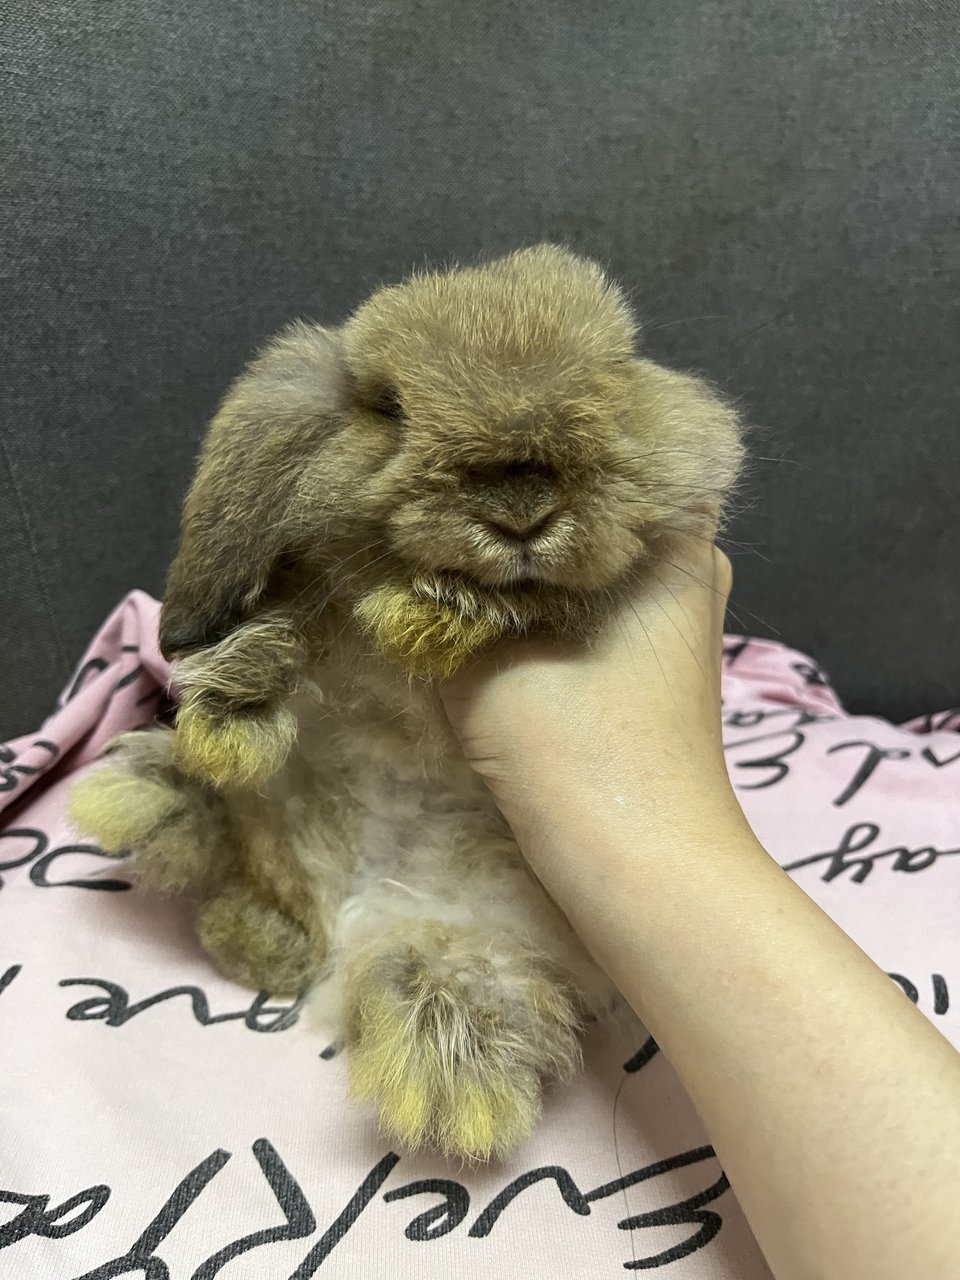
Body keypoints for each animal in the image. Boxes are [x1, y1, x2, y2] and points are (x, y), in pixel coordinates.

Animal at [69, 244, 742, 1167]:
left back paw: (447, 1043)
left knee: (458, 968)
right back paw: (177, 814)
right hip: (276, 828)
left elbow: (534, 604)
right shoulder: (318, 605)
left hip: (500, 926)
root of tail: (350, 919)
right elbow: (297, 639)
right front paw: (239, 696)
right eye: (389, 408)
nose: (520, 505)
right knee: (253, 868)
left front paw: (431, 614)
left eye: (615, 374)